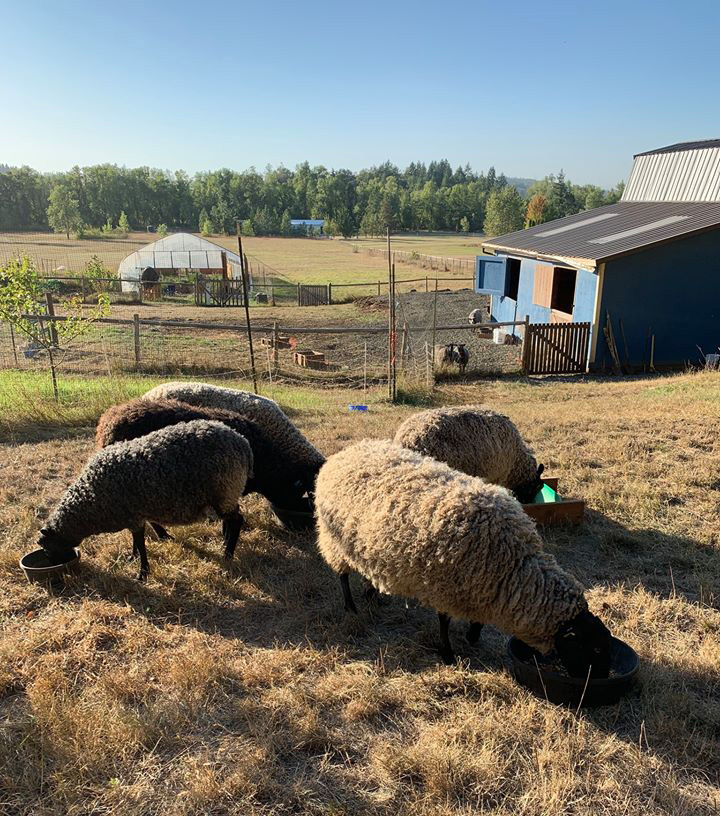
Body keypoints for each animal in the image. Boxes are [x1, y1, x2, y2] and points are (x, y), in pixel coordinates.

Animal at [39, 420, 255, 580]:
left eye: (48, 549)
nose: (55, 567)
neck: (90, 500)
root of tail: (242, 442)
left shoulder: (134, 517)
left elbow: (141, 543)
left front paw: (142, 573)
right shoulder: (134, 515)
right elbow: (136, 540)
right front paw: (132, 558)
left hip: (225, 491)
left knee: (237, 521)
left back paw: (227, 554)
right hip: (227, 494)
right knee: (232, 519)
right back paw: (225, 546)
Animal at [316, 440, 608, 676]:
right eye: (591, 648)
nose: (599, 678)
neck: (513, 565)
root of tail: (346, 452)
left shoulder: (480, 589)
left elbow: (477, 619)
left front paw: (473, 635)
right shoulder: (444, 587)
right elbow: (444, 622)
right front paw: (448, 654)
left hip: (363, 544)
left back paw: (371, 593)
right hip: (334, 541)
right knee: (342, 576)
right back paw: (351, 606)